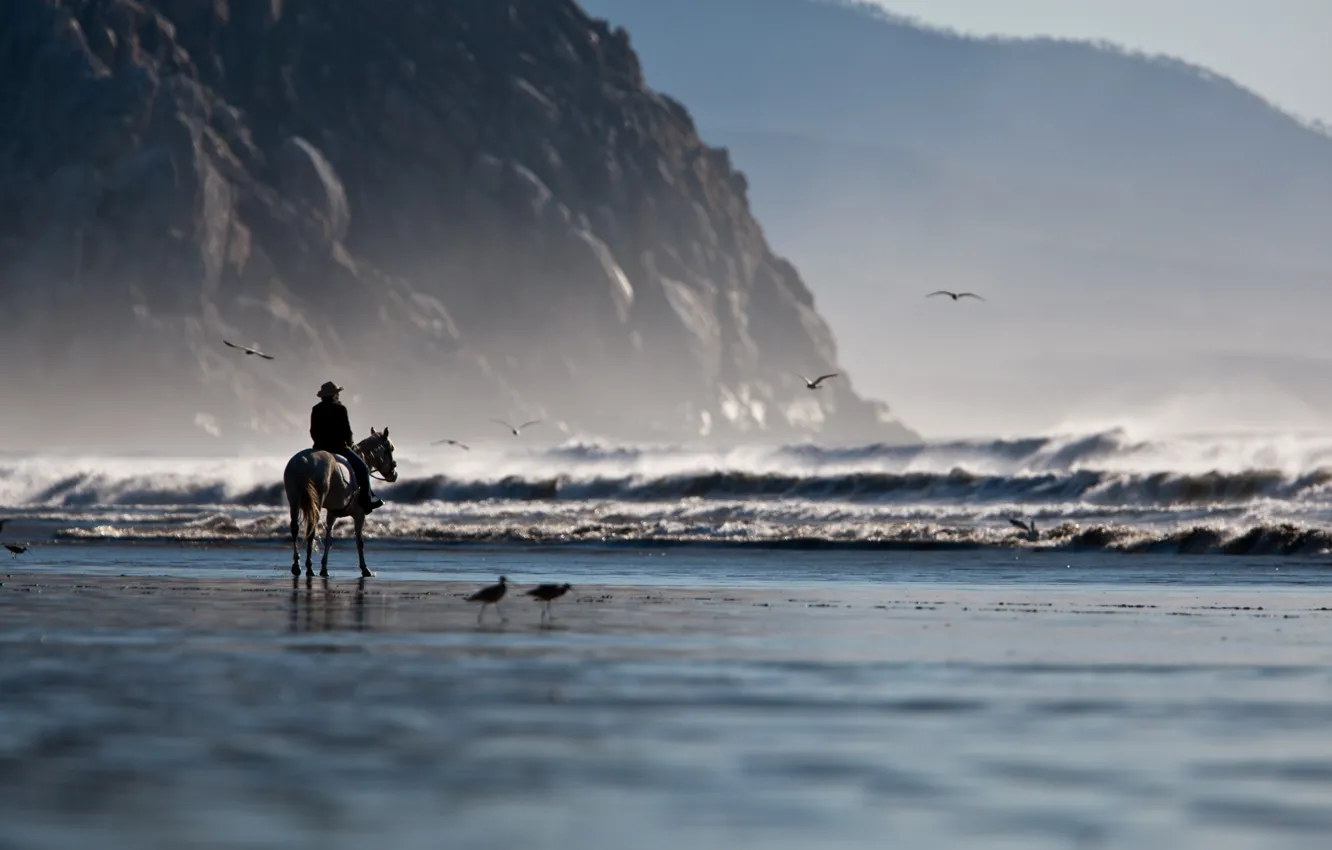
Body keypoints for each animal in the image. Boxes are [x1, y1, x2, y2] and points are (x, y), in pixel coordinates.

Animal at [282, 428, 396, 583]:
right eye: (391, 449)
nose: (394, 474)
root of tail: (303, 461)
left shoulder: (332, 514)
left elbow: (328, 539)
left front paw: (324, 568)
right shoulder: (359, 514)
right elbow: (359, 541)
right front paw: (365, 569)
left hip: (293, 500)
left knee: (295, 528)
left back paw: (297, 565)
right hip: (316, 501)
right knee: (311, 529)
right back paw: (309, 568)